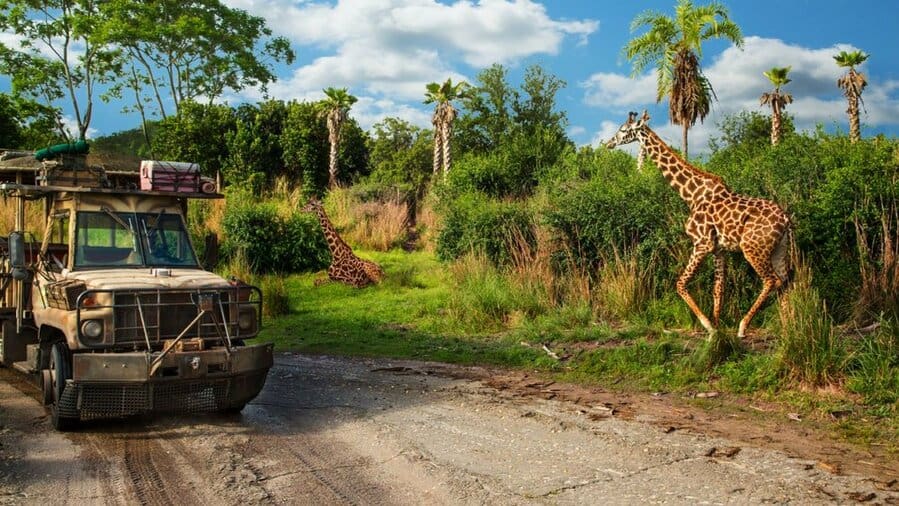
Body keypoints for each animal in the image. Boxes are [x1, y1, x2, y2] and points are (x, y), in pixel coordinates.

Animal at [604, 111, 796, 340]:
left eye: (623, 129)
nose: (609, 143)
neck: (691, 195)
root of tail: (785, 220)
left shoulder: (702, 243)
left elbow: (680, 283)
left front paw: (709, 327)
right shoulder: (719, 249)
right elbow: (718, 289)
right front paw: (718, 330)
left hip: (753, 248)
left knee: (771, 281)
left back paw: (744, 326)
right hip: (778, 249)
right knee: (785, 281)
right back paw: (789, 328)